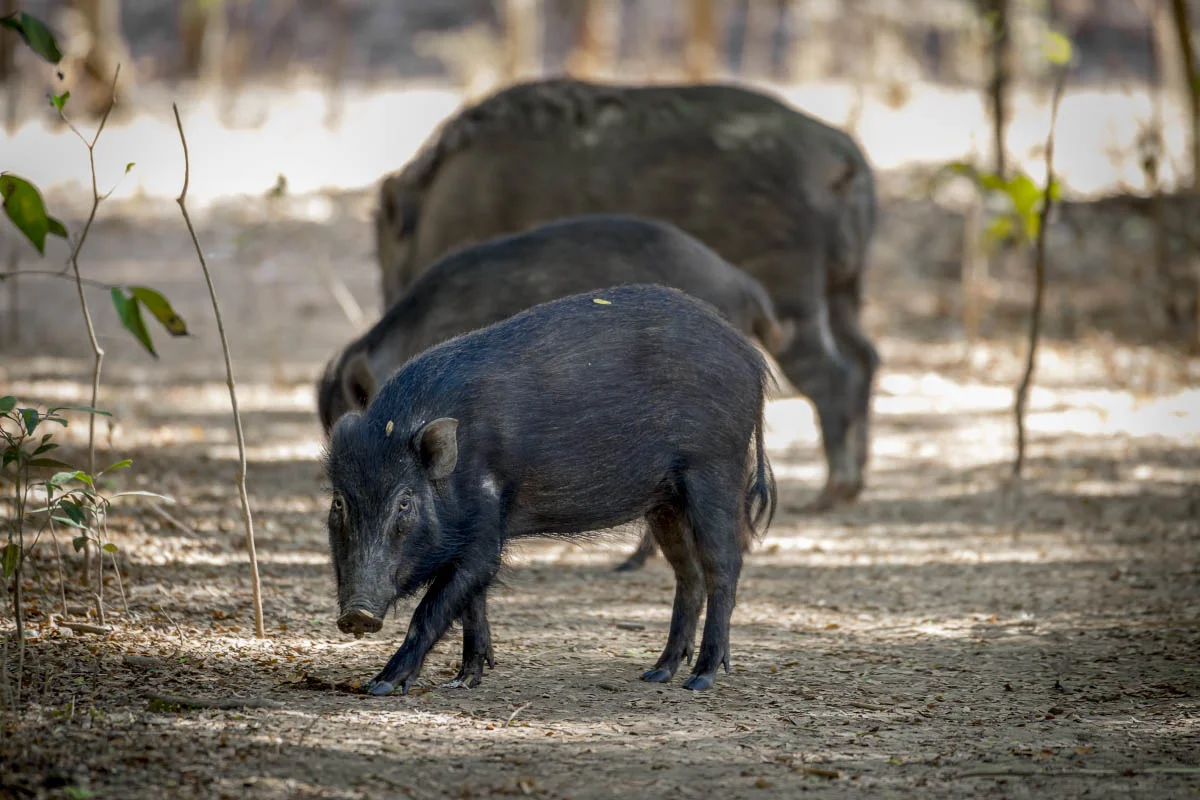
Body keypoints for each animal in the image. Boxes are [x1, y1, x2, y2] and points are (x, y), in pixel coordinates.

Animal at [324, 284, 776, 694]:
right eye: (339, 503)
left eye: (404, 503)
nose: (357, 615)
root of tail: (752, 359)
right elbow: (471, 603)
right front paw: (464, 680)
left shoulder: (486, 529)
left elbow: (436, 606)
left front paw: (381, 685)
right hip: (665, 501)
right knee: (688, 573)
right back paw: (656, 673)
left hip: (714, 470)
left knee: (723, 566)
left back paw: (700, 679)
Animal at [373, 77, 878, 512]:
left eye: (389, 255)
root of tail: (843, 158)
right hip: (843, 293)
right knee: (864, 357)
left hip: (795, 297)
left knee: (831, 375)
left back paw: (832, 491)